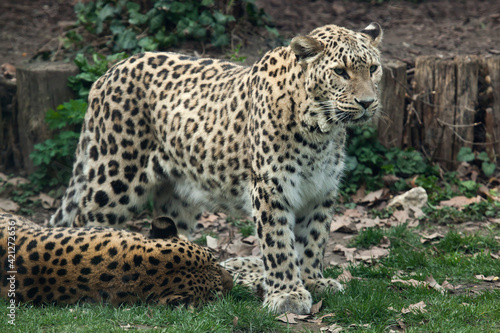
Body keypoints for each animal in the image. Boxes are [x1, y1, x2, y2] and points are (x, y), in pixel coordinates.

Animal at [49, 23, 382, 314]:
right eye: (340, 72)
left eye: (373, 69)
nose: (367, 102)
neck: (321, 131)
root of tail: (108, 73)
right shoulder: (270, 188)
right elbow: (278, 243)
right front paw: (287, 294)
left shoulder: (320, 190)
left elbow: (313, 239)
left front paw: (313, 280)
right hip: (114, 179)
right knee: (84, 222)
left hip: (176, 196)